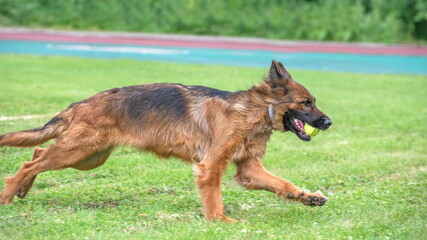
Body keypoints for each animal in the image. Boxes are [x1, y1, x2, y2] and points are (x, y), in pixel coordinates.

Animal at [0, 61, 332, 222]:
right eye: (306, 102)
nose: (328, 123)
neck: (254, 110)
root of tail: (80, 104)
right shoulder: (211, 167)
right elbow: (215, 199)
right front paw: (221, 222)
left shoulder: (249, 170)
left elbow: (282, 184)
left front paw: (307, 196)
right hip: (78, 152)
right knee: (31, 163)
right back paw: (8, 194)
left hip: (88, 157)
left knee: (37, 152)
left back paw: (22, 189)